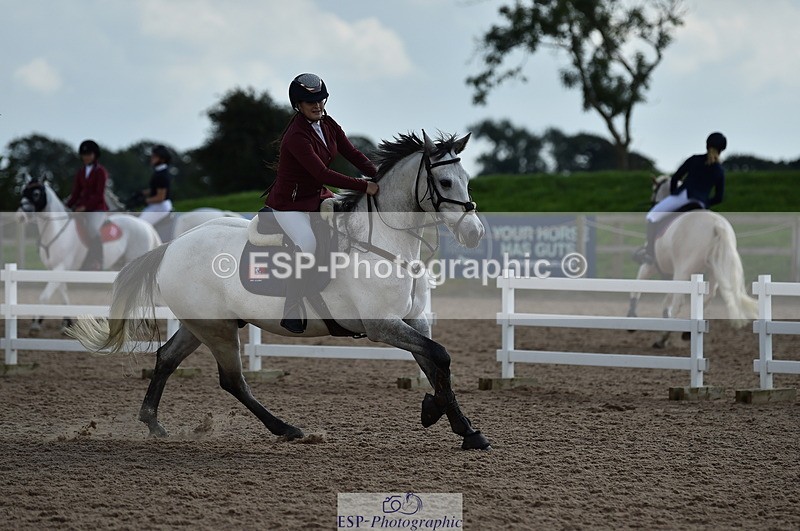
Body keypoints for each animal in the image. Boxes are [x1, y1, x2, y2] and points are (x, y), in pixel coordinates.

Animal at [16, 177, 163, 332]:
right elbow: (63, 295)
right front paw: (66, 323)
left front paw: (35, 323)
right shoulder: (55, 270)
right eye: (23, 191)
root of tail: (147, 226)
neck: (56, 230)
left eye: (36, 193)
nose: (20, 215)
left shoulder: (60, 267)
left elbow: (44, 297)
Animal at [67, 131, 492, 450]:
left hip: (200, 325)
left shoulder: (413, 321)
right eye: (445, 182)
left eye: (468, 179)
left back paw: (153, 424)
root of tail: (171, 246)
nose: (474, 234)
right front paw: (445, 418)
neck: (385, 243)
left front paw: (460, 425)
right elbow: (439, 357)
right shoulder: (381, 325)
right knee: (232, 381)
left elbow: (436, 363)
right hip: (218, 330)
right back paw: (286, 429)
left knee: (167, 359)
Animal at [628, 175, 758, 348]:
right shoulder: (670, 273)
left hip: (684, 270)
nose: (652, 201)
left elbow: (638, 286)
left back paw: (663, 338)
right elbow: (666, 300)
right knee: (706, 299)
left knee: (678, 303)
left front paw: (631, 317)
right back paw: (684, 333)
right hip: (712, 272)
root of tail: (716, 225)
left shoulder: (651, 265)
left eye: (654, 190)